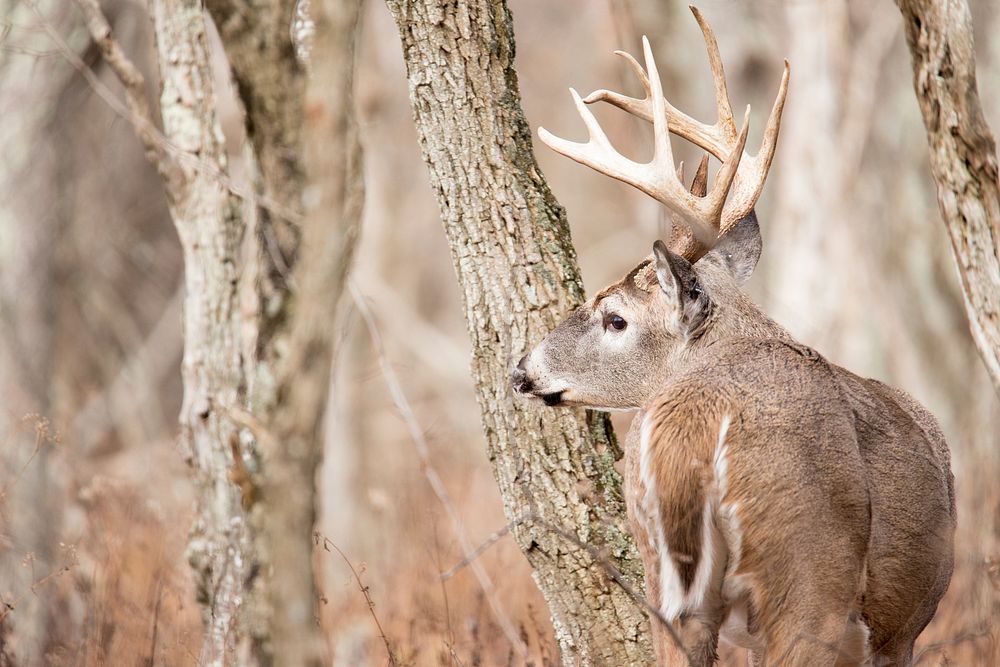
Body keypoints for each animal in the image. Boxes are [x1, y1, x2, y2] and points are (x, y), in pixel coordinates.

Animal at [512, 7, 956, 664]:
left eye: (615, 316)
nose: (523, 369)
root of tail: (693, 429)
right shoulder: (898, 630)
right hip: (809, 571)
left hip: (668, 579)